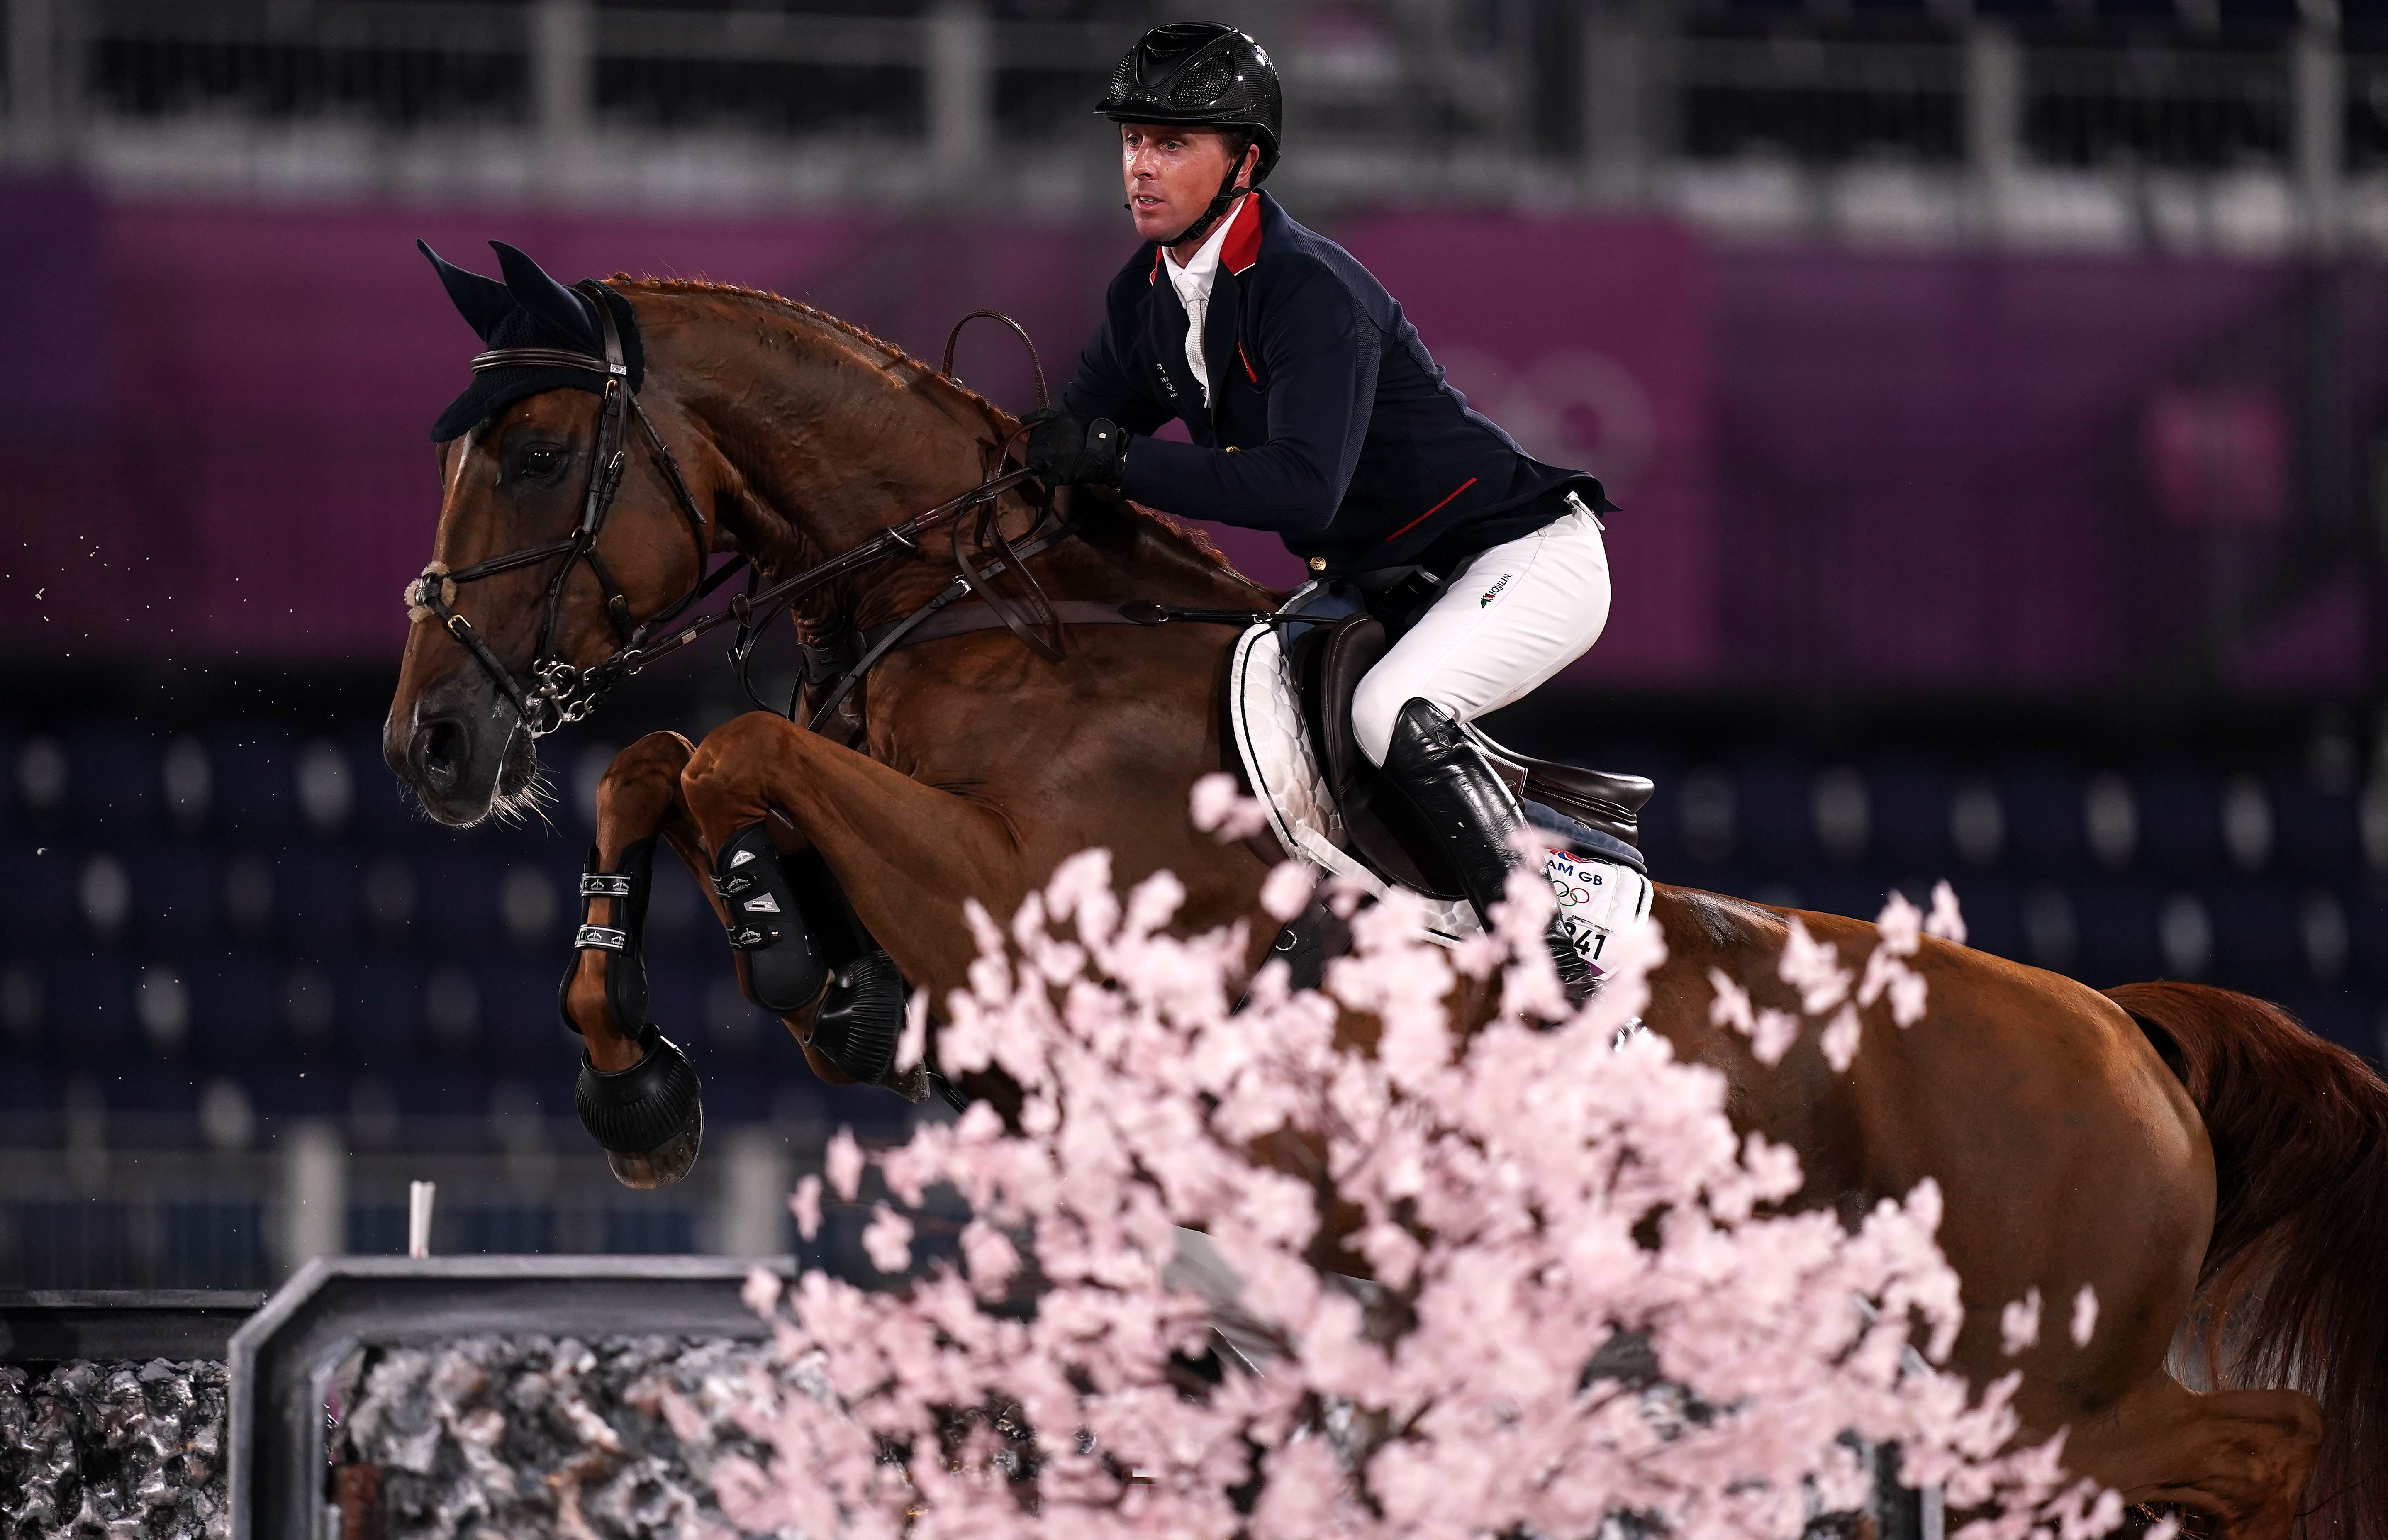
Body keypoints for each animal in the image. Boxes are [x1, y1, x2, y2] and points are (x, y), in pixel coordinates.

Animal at [382, 267, 2378, 1538]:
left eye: (540, 456)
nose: (431, 742)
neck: (981, 622)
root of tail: (2123, 1028)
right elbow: (666, 770)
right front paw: (640, 1072)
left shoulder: (1009, 900)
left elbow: (726, 753)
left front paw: (744, 974)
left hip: (2042, 1389)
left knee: (2271, 1451)